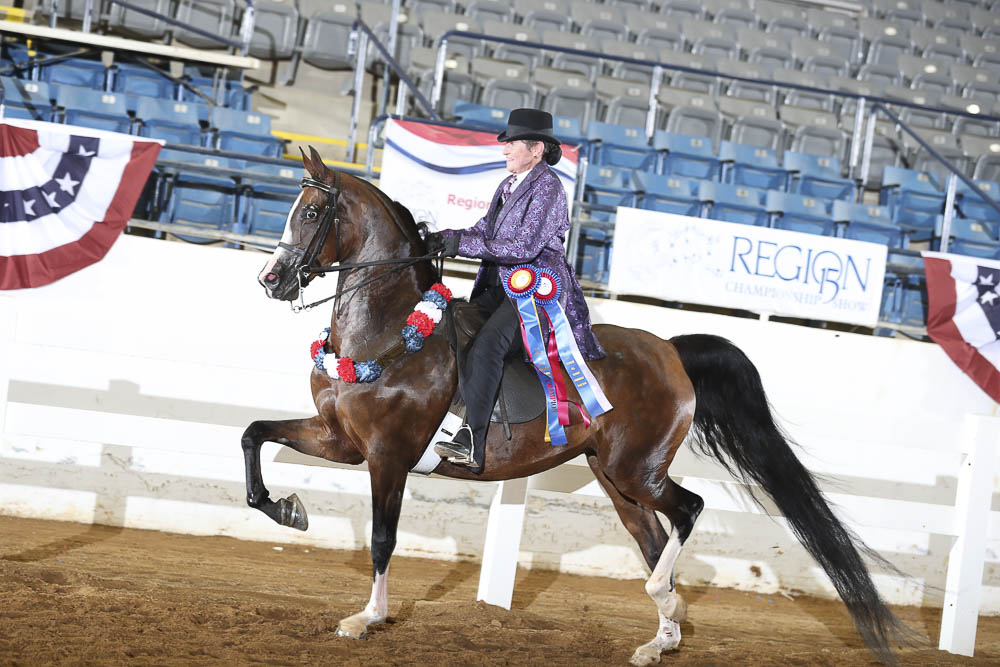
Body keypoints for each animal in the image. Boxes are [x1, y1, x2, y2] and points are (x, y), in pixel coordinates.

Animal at [241, 147, 906, 665]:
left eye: (310, 212)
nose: (271, 280)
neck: (388, 332)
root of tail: (671, 349)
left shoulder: (387, 456)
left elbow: (383, 539)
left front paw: (367, 619)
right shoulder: (340, 439)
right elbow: (253, 435)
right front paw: (288, 510)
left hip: (634, 470)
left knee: (688, 510)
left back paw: (667, 603)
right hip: (617, 479)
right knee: (655, 536)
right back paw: (660, 637)